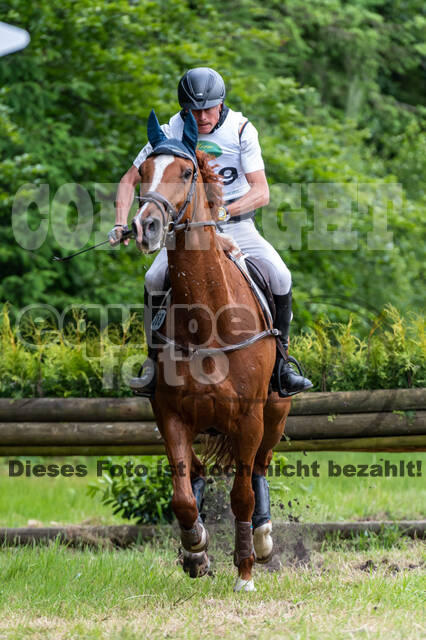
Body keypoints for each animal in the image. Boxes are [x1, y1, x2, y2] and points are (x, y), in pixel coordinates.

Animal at [132, 110, 291, 592]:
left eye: (186, 173)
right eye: (143, 172)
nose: (146, 227)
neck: (207, 323)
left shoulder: (250, 418)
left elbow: (241, 494)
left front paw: (245, 570)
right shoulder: (170, 415)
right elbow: (182, 497)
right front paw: (197, 551)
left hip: (276, 414)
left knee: (258, 469)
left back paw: (261, 538)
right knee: (200, 474)